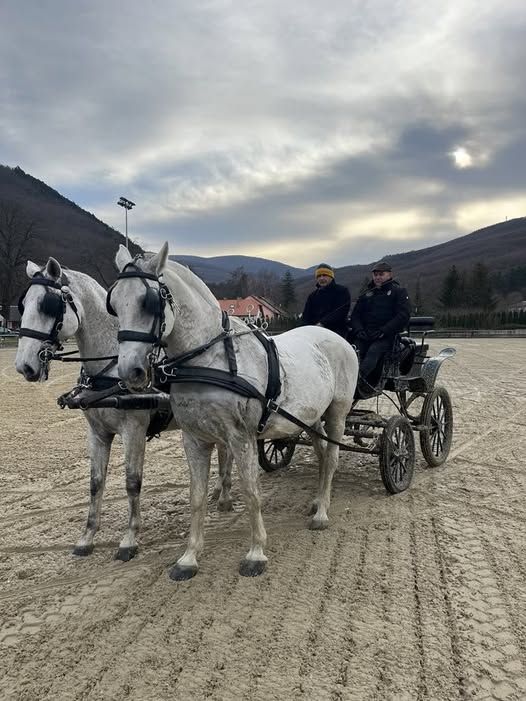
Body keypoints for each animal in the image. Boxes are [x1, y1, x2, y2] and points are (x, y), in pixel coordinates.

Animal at [14, 256, 233, 556]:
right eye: (23, 305)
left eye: (48, 305)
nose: (24, 366)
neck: (110, 370)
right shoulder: (97, 433)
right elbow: (96, 483)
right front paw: (87, 537)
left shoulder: (134, 430)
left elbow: (132, 482)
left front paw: (129, 539)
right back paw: (220, 491)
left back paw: (225, 495)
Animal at [109, 243, 360, 576]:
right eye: (114, 304)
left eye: (147, 302)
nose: (130, 372)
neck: (208, 359)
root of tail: (337, 338)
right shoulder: (195, 439)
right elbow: (197, 497)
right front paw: (189, 557)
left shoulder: (241, 437)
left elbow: (251, 491)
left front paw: (256, 552)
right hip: (311, 417)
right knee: (321, 455)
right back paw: (318, 502)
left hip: (337, 414)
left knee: (331, 459)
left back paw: (322, 514)